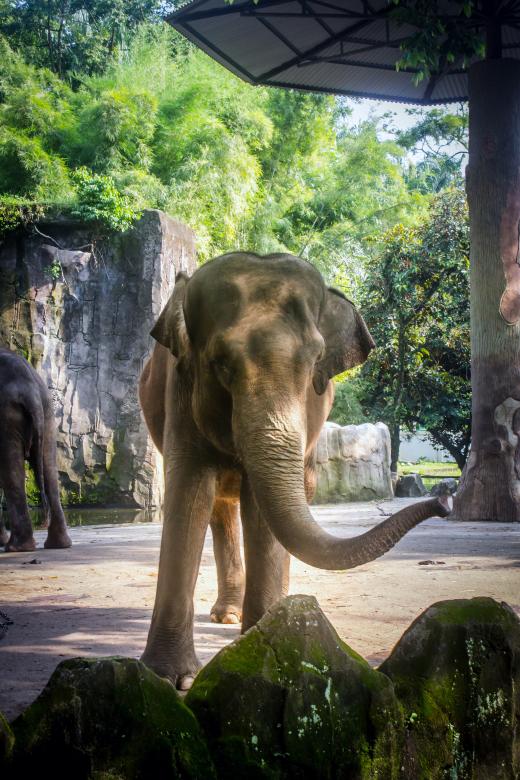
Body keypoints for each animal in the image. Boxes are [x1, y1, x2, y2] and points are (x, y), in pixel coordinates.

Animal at [0, 347, 72, 552]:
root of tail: (29, 388)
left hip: (7, 415)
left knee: (11, 470)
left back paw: (16, 548)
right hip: (48, 414)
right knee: (49, 468)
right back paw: (58, 545)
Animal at [139, 252, 450, 690]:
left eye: (315, 361)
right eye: (220, 363)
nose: (445, 498)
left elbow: (261, 509)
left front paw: (260, 650)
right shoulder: (180, 392)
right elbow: (189, 492)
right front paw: (169, 678)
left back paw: (267, 610)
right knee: (220, 506)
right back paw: (227, 615)